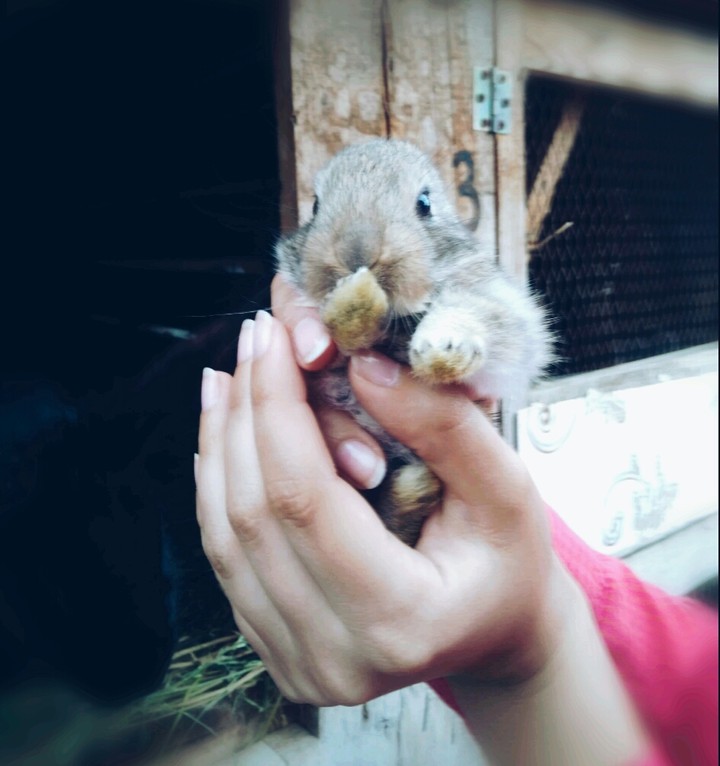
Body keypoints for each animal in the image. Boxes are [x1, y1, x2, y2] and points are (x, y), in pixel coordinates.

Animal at [275, 138, 551, 545]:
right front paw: (356, 301)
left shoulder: (509, 317)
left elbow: (483, 319)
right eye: (315, 206)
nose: (358, 253)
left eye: (424, 203)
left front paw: (441, 349)